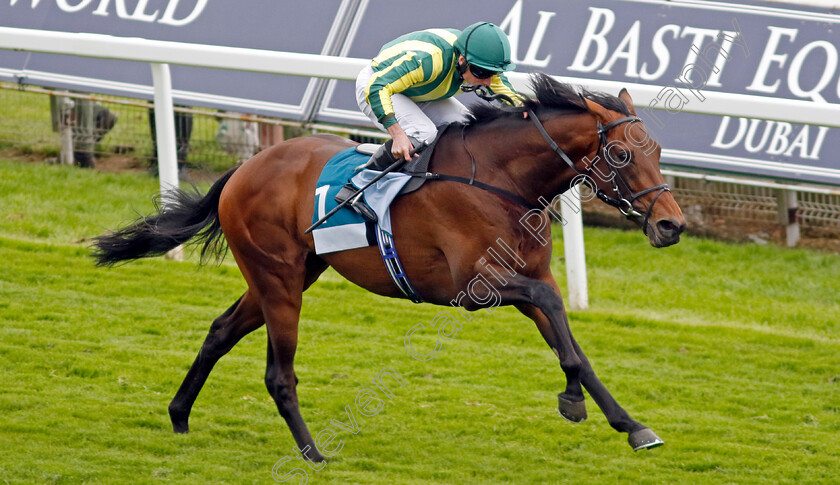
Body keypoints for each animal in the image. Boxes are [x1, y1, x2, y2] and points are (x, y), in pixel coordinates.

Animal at [97, 73, 688, 458]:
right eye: (622, 155)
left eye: (658, 150)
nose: (671, 225)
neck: (502, 180)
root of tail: (246, 167)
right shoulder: (474, 286)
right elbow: (555, 319)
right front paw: (572, 402)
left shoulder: (529, 278)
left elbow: (573, 344)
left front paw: (631, 425)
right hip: (278, 277)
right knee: (278, 372)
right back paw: (312, 452)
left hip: (292, 273)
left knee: (220, 331)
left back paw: (179, 415)